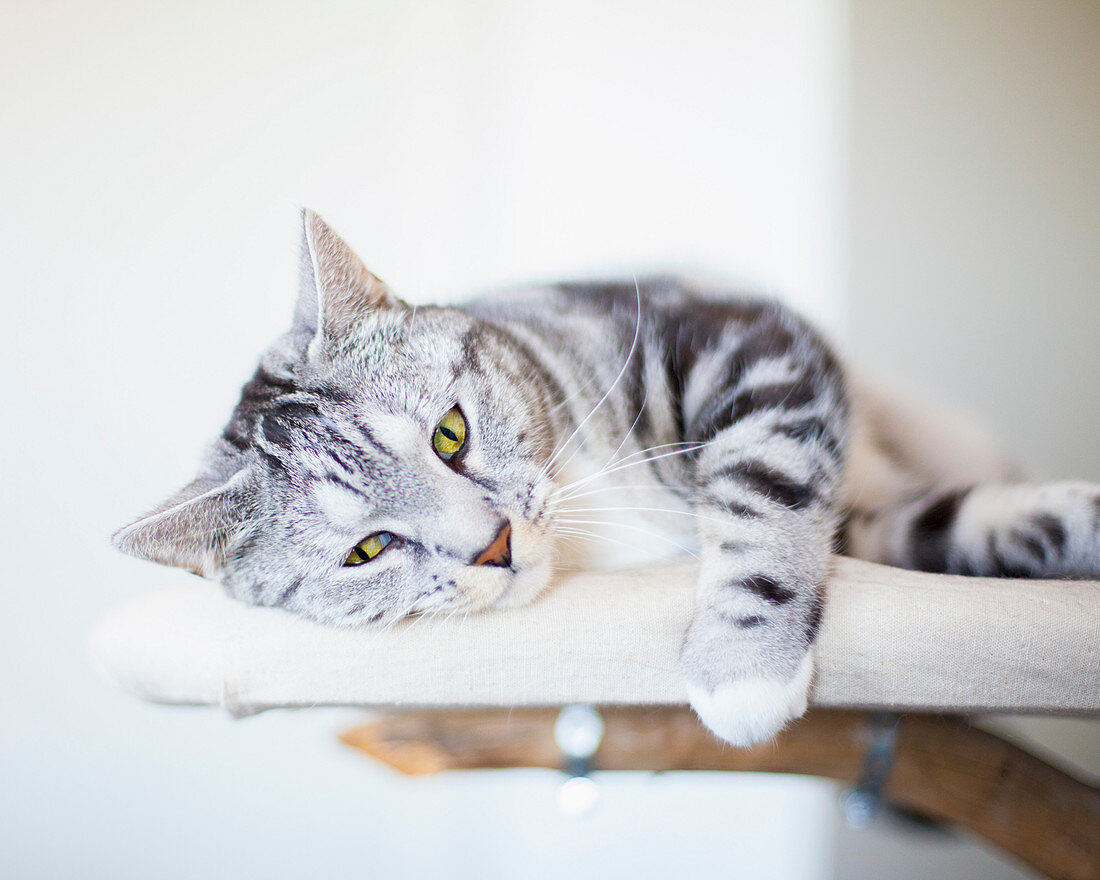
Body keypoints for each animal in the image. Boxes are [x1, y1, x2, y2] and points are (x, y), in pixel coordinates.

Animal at [113, 210, 1100, 748]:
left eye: (450, 433)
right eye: (368, 549)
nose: (494, 547)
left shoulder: (749, 344)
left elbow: (761, 490)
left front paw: (742, 663)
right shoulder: (867, 517)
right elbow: (976, 526)